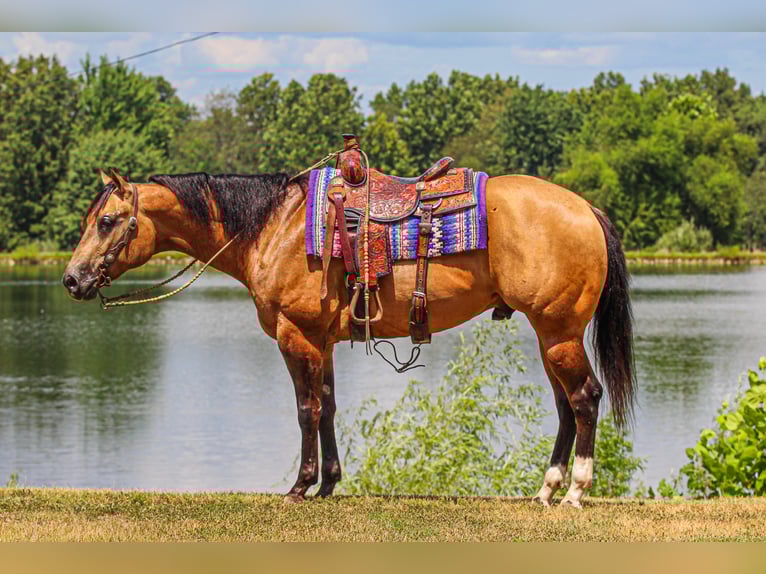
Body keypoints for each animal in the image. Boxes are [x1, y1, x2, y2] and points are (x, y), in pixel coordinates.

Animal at [62, 166, 635, 507]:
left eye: (107, 221)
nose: (72, 279)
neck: (275, 228)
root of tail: (585, 208)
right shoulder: (322, 341)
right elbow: (329, 407)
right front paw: (329, 483)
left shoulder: (295, 336)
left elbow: (306, 410)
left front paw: (300, 486)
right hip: (549, 336)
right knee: (566, 406)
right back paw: (547, 489)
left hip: (558, 332)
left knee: (586, 398)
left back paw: (575, 491)